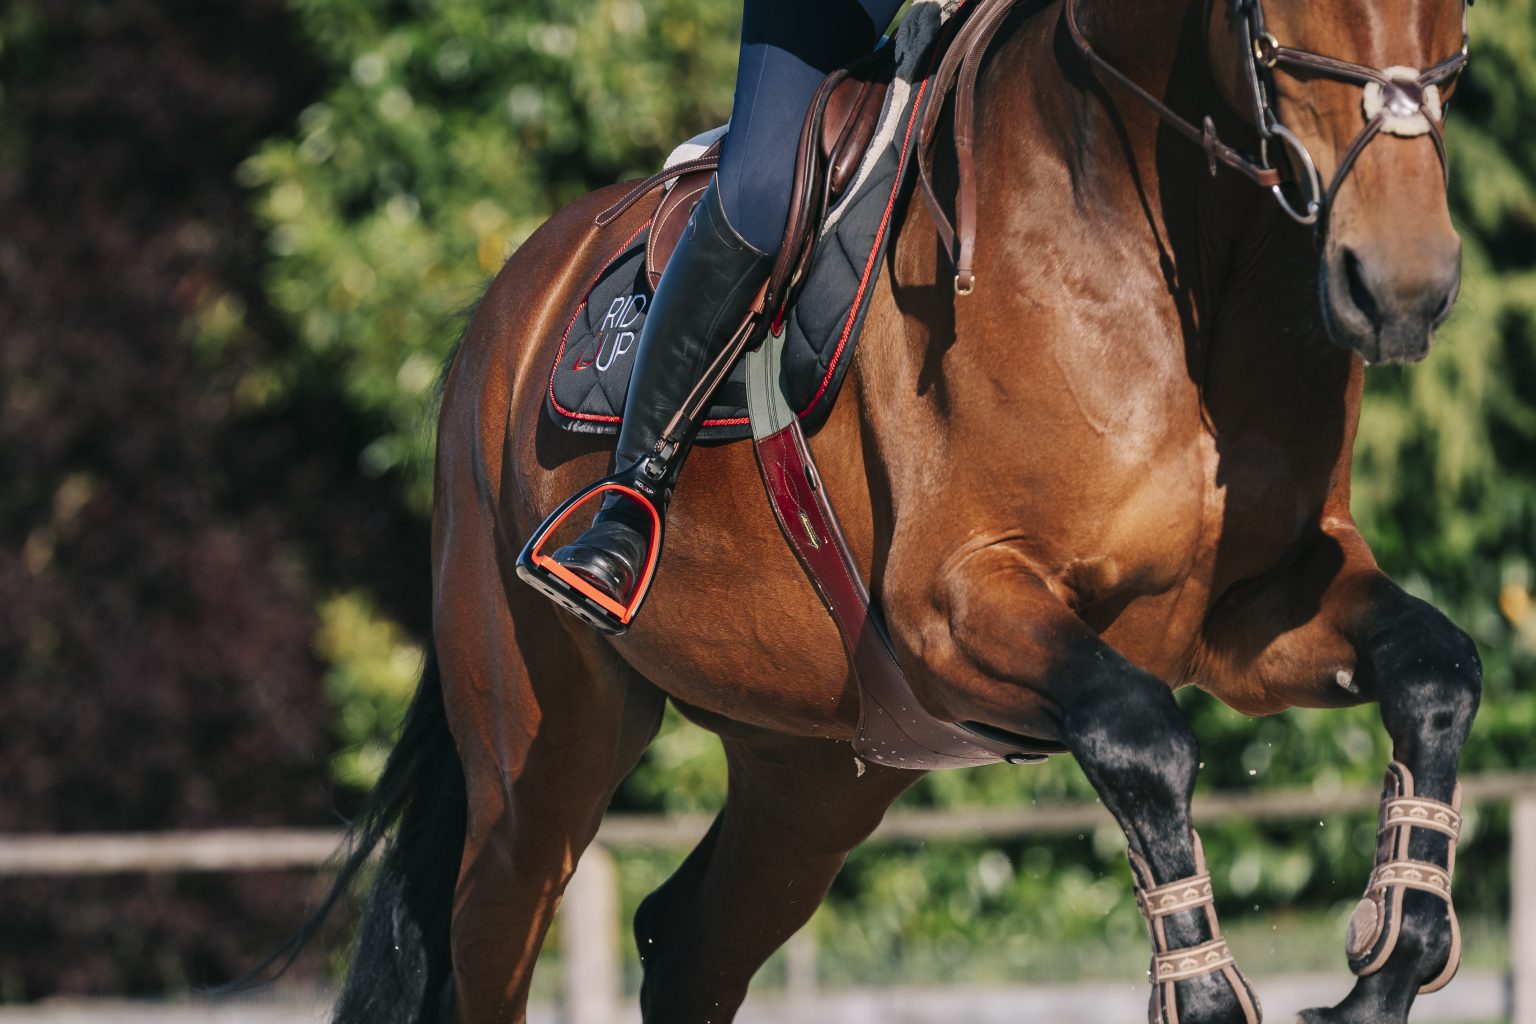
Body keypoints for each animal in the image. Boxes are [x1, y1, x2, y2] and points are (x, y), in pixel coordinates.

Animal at [310, 0, 1482, 1021]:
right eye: (1276, 12)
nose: (1402, 287)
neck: (1163, 250)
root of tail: (508, 307)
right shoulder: (951, 609)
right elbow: (1140, 732)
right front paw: (1203, 991)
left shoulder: (1251, 611)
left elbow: (1438, 670)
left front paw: (1392, 961)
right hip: (539, 762)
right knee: (486, 942)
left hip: (816, 768)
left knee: (687, 942)